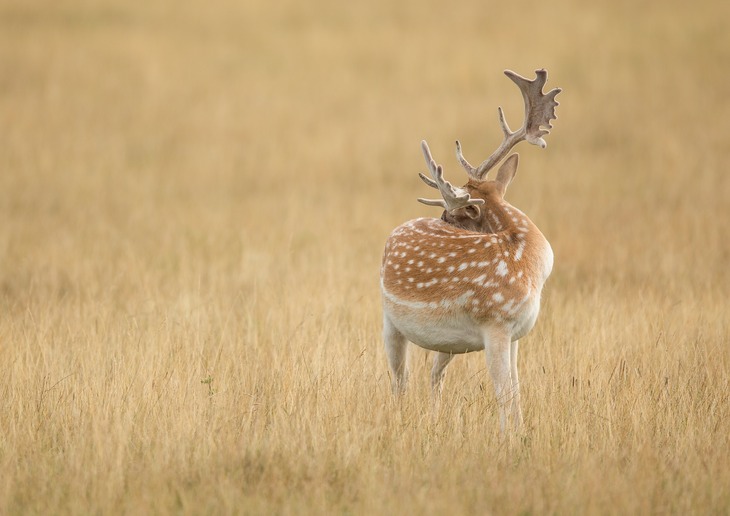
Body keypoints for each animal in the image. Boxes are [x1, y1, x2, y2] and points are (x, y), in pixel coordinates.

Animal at [378, 68, 560, 432]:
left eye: (454, 214)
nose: (441, 220)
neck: (532, 265)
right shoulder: (495, 323)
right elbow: (504, 393)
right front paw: (508, 439)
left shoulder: (515, 334)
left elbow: (516, 393)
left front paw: (520, 434)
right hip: (389, 320)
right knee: (399, 380)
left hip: (444, 346)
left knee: (432, 377)